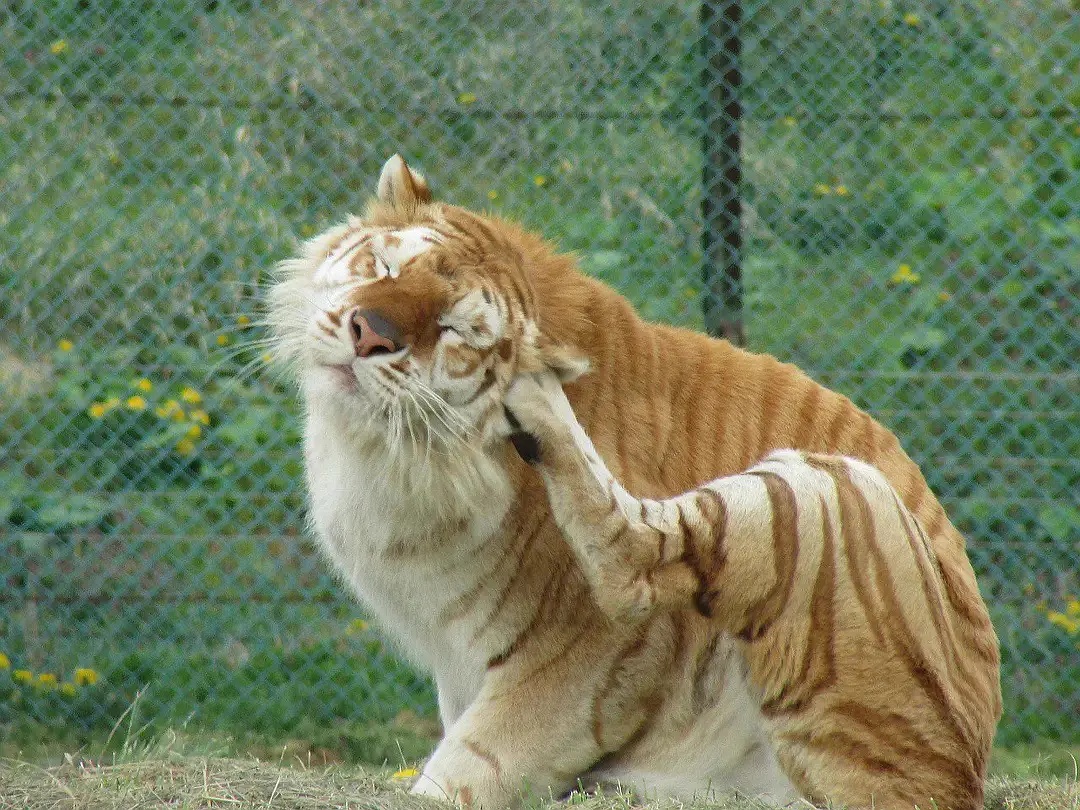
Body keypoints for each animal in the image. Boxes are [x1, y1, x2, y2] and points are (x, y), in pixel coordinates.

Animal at [270, 155, 1002, 807]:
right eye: (386, 268)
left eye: (452, 328)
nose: (367, 333)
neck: (396, 454)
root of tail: (964, 771)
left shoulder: (587, 657)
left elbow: (477, 759)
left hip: (826, 491)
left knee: (637, 560)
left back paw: (537, 398)